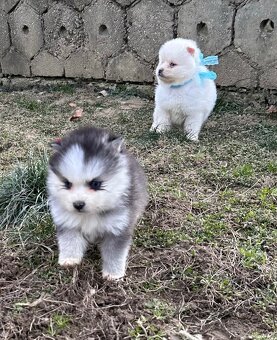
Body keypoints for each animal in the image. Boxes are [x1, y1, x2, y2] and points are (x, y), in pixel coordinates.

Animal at [46, 126, 148, 280]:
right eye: (67, 183)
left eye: (95, 184)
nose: (78, 204)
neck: (90, 214)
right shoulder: (67, 222)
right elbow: (69, 241)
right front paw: (69, 260)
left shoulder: (117, 228)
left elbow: (114, 254)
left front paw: (113, 275)